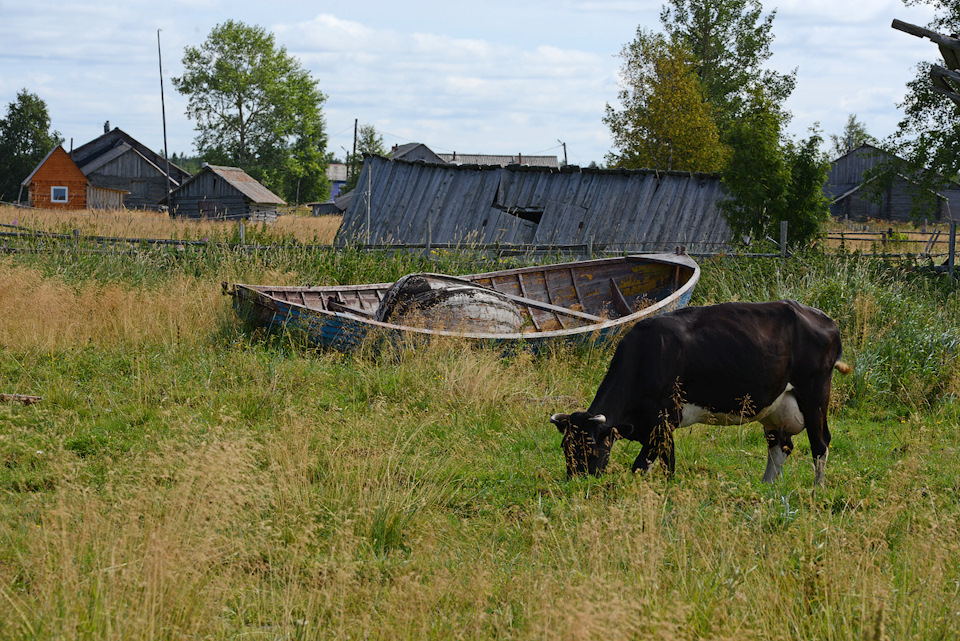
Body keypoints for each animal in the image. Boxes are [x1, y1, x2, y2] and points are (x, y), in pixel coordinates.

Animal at [552, 300, 852, 484]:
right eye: (565, 446)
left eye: (590, 446)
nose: (576, 483)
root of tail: (824, 318)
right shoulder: (657, 427)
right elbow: (662, 463)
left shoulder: (664, 421)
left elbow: (648, 466)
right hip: (776, 407)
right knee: (780, 446)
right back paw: (766, 487)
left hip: (815, 394)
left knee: (820, 444)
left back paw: (816, 491)